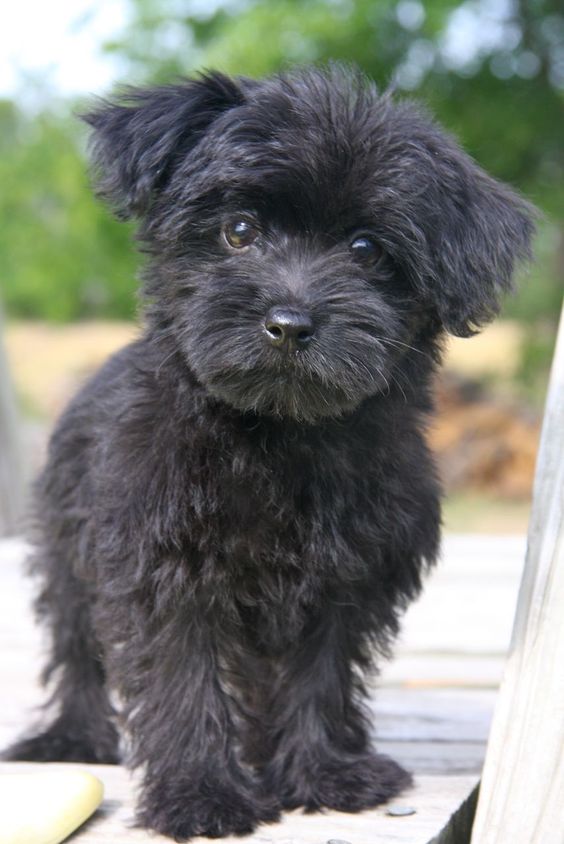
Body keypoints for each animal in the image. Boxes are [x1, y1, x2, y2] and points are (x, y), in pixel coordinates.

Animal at [5, 66, 532, 836]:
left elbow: (319, 677)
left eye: (367, 250)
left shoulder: (349, 576)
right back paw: (73, 734)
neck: (278, 434)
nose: (289, 322)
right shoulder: (163, 565)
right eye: (239, 230)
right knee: (75, 649)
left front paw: (321, 773)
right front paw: (200, 794)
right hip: (68, 544)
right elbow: (183, 680)